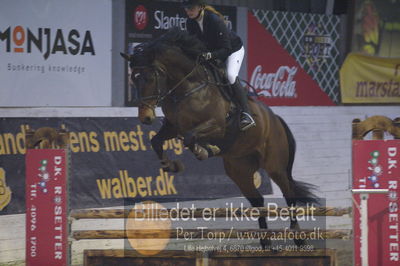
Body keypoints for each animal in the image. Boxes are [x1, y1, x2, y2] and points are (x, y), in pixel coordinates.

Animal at [122, 27, 316, 247]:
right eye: (133, 78)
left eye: (150, 78)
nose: (145, 118)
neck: (188, 87)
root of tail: (276, 119)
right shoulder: (173, 127)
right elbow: (157, 141)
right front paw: (172, 166)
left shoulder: (217, 125)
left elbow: (190, 137)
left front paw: (204, 151)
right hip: (240, 170)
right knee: (258, 200)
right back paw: (266, 242)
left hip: (275, 165)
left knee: (289, 194)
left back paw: (298, 238)